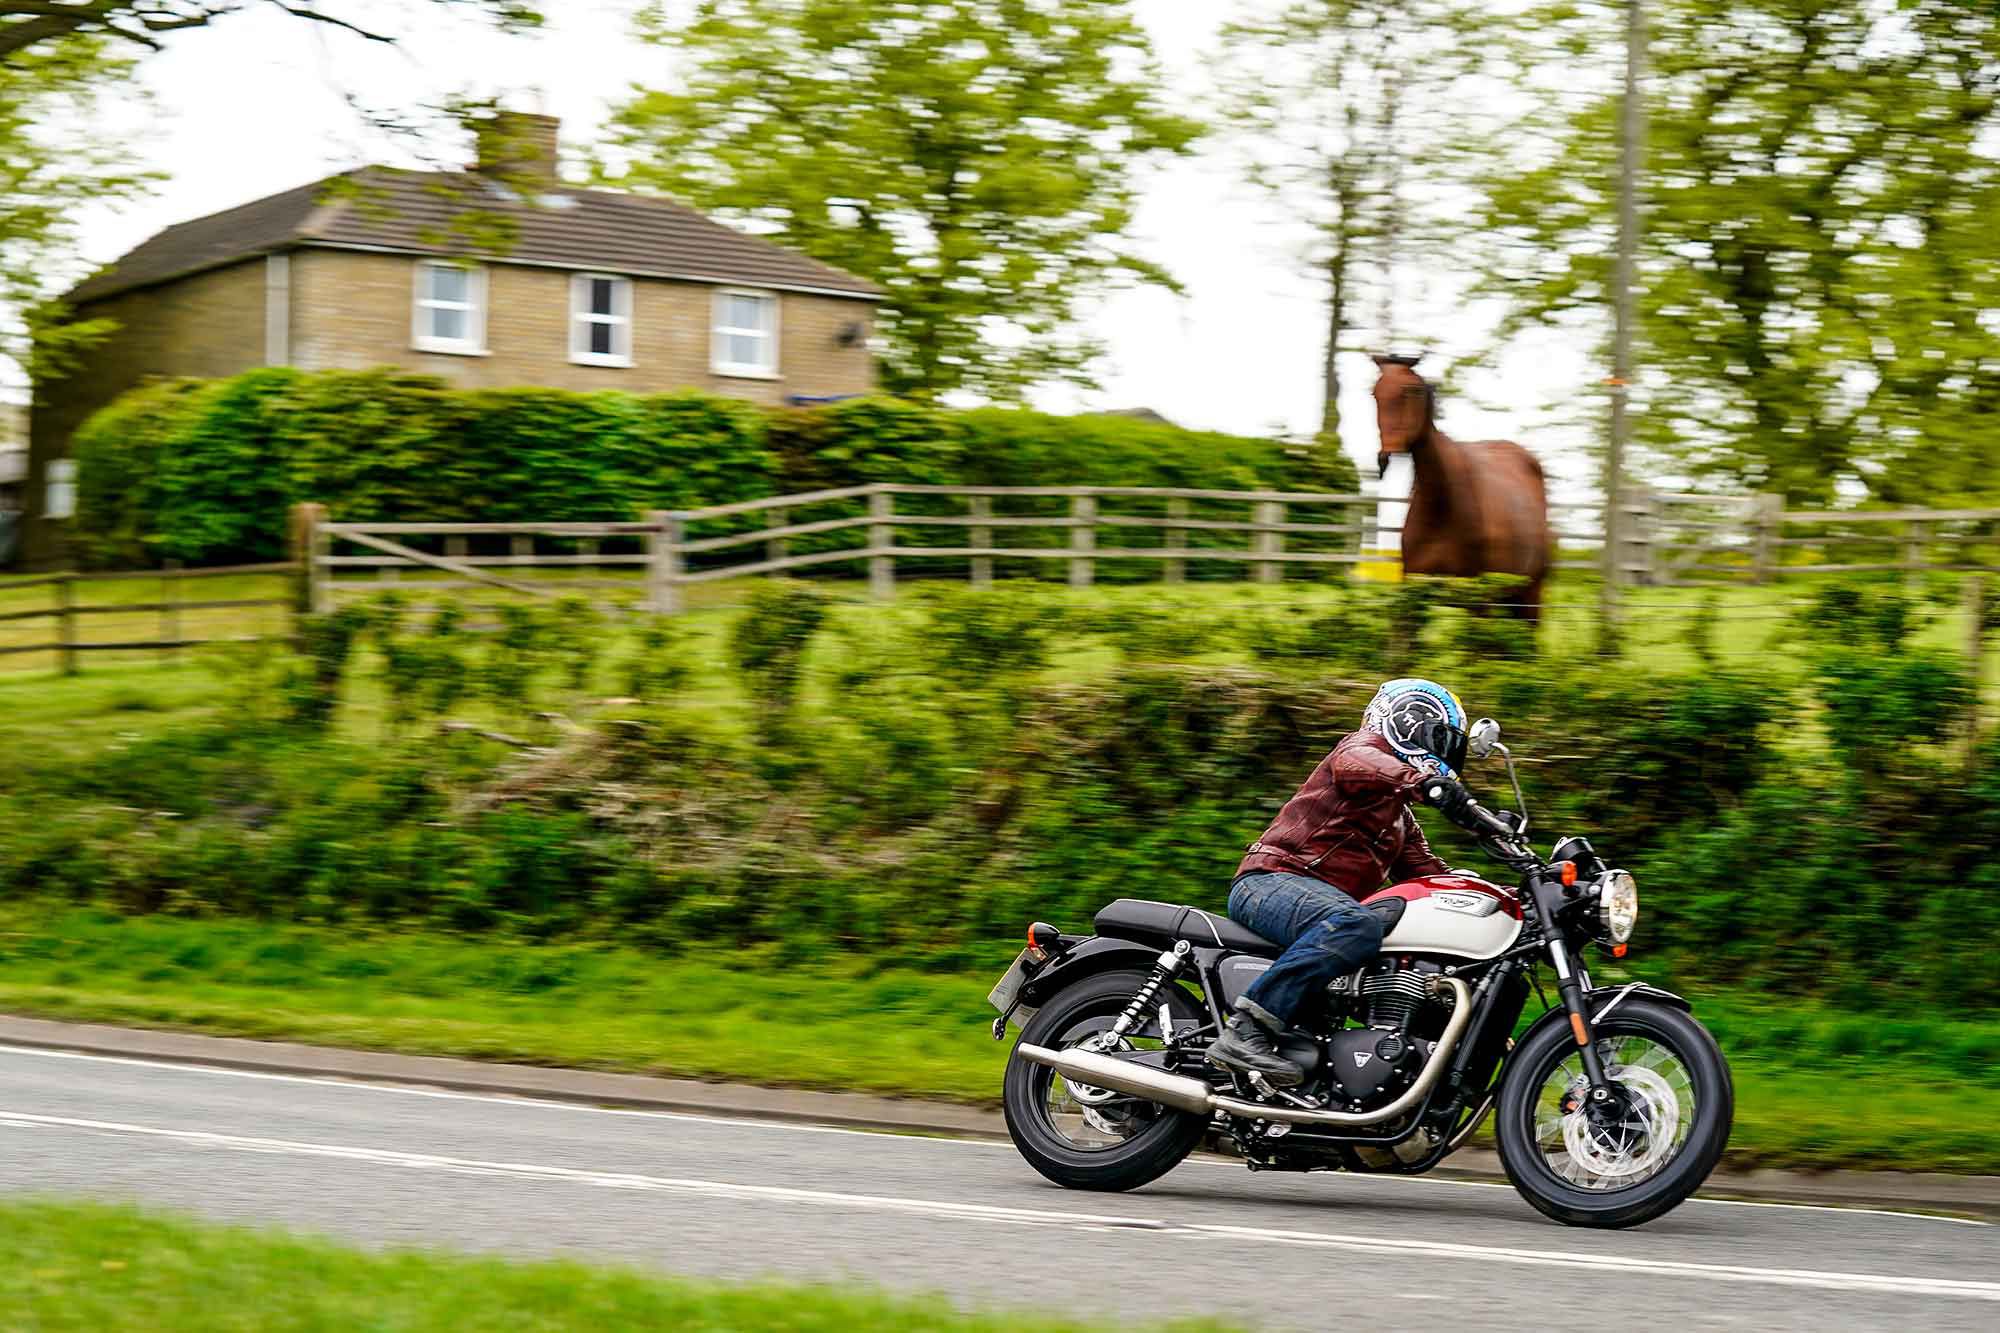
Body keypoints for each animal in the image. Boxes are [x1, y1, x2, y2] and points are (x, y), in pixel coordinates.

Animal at [1368, 352, 1552, 624]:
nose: (1385, 458)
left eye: (1412, 390)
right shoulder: (1413, 594)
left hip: (1529, 597)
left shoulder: (1477, 603)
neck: (1441, 506)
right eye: (1375, 393)